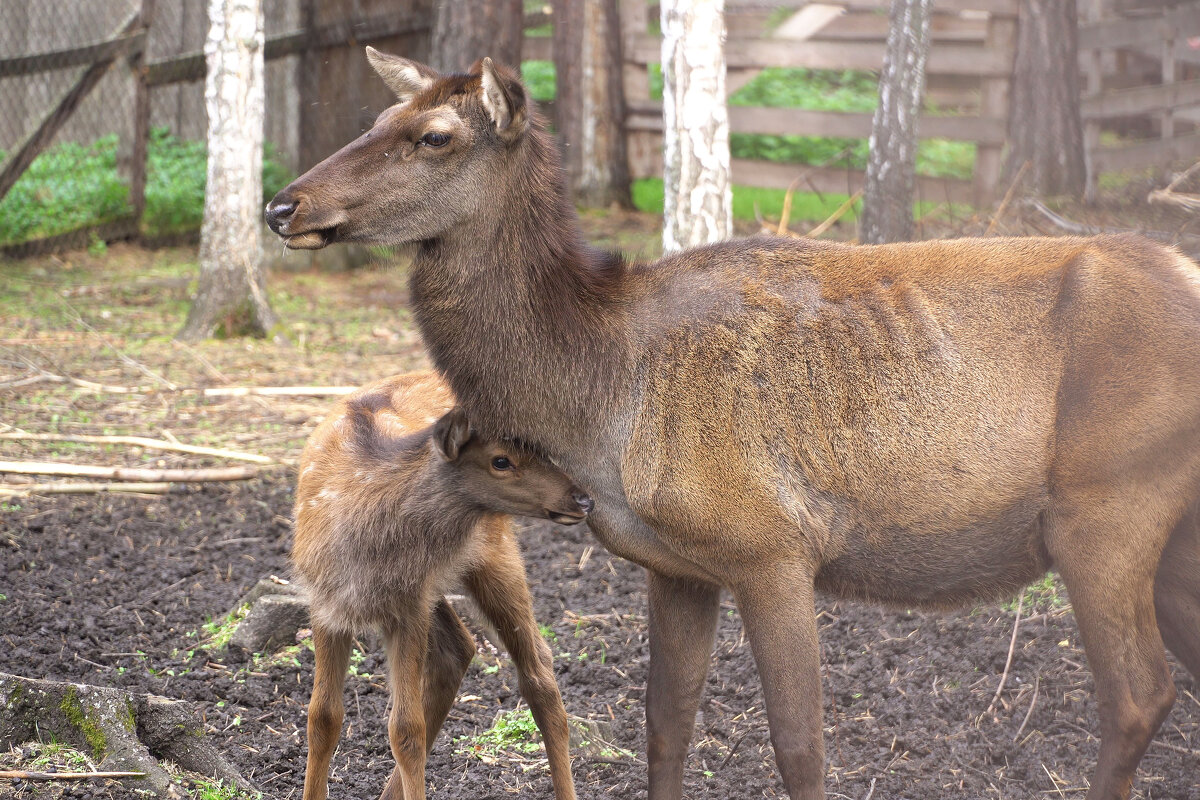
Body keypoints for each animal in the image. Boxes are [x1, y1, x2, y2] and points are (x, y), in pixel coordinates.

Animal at [270, 53, 1200, 796]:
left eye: (433, 136)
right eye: (376, 120)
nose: (284, 205)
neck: (601, 400)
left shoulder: (773, 546)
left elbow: (800, 748)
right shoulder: (677, 567)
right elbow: (666, 728)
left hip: (1106, 506)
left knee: (1139, 694)